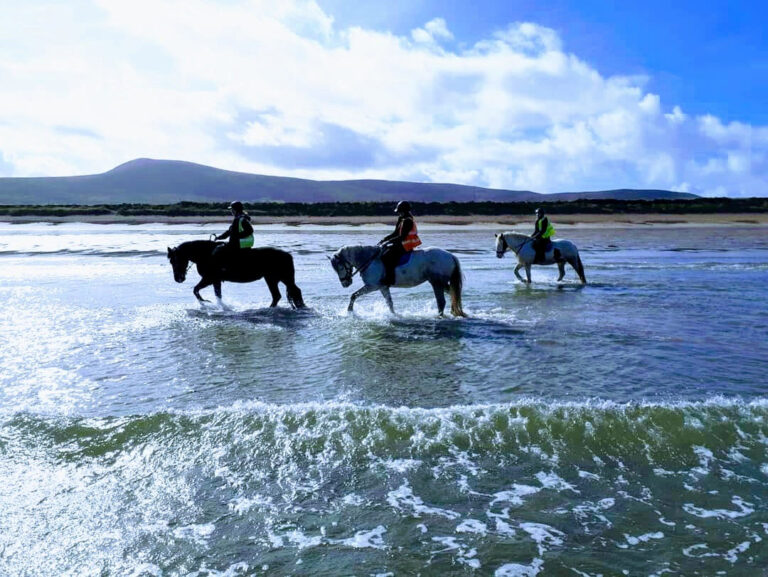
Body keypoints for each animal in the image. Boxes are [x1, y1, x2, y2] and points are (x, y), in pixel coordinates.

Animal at [168, 238, 306, 308]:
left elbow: (196, 290)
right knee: (279, 295)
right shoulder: (215, 281)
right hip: (272, 279)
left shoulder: (209, 279)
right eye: (171, 261)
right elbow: (217, 294)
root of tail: (288, 255)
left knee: (293, 291)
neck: (206, 254)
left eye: (175, 260)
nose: (178, 278)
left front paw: (205, 302)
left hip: (282, 278)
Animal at [328, 243, 464, 316]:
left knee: (441, 302)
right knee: (453, 294)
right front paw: (394, 315)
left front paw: (349, 311)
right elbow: (389, 303)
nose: (345, 283)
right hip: (441, 283)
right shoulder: (383, 287)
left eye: (340, 267)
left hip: (436, 283)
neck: (370, 260)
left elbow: (353, 295)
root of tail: (450, 255)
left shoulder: (372, 286)